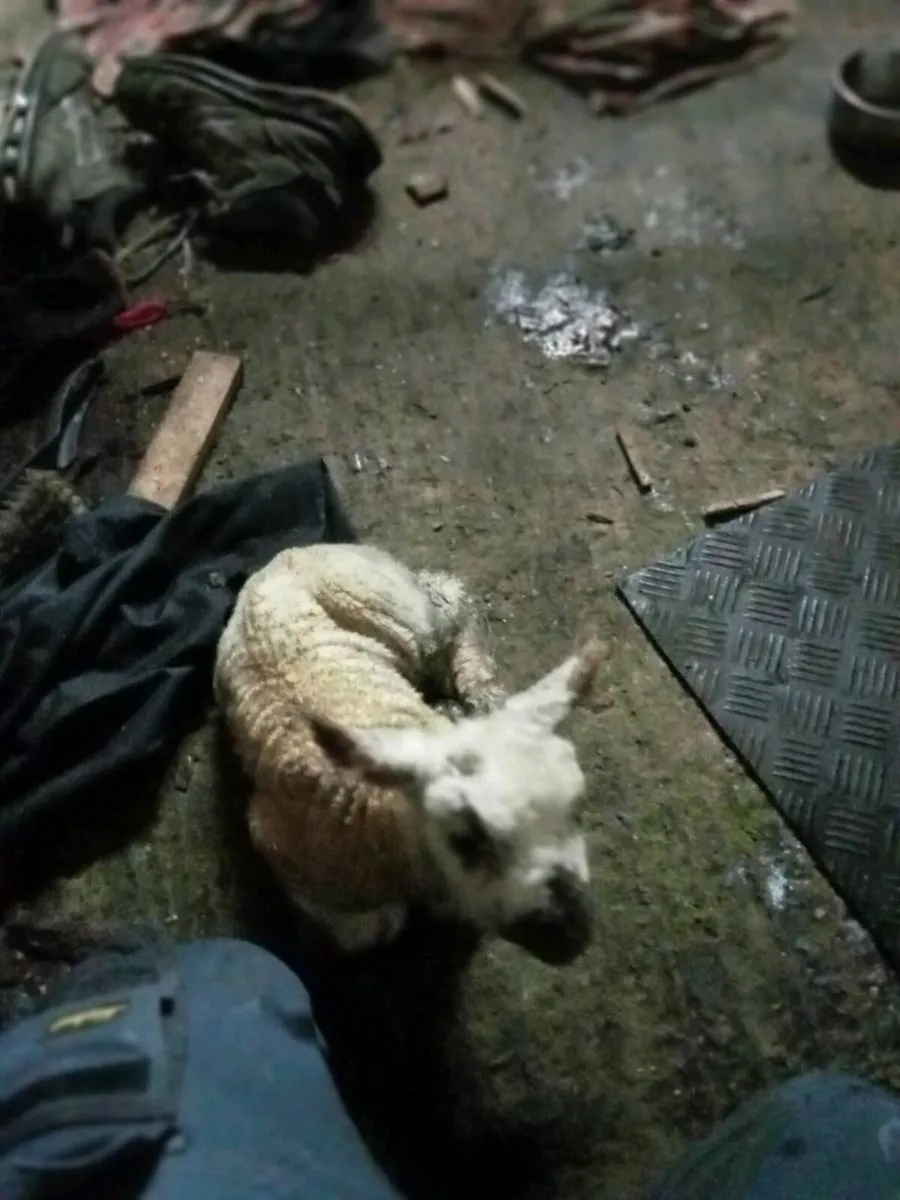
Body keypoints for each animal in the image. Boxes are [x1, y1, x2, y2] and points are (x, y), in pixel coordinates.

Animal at [213, 541, 602, 964]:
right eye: (469, 839)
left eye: (578, 809)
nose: (572, 937)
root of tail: (281, 556)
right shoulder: (272, 834)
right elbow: (369, 930)